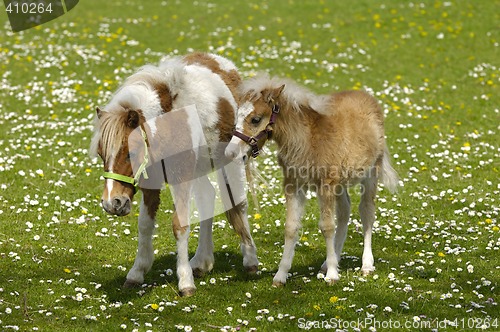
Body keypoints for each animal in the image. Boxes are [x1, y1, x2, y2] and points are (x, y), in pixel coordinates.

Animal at [90, 53, 260, 296]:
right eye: (101, 154)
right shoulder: (151, 183)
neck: (166, 128)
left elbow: (180, 225)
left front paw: (185, 282)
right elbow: (145, 224)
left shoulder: (181, 179)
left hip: (231, 162)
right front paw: (137, 273)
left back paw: (250, 260)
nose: (112, 203)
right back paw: (202, 262)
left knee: (239, 204)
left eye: (131, 152)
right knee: (207, 198)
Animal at [227, 74, 398, 286]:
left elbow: (327, 226)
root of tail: (366, 96)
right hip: (340, 183)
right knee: (345, 211)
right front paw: (280, 276)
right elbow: (291, 227)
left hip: (370, 174)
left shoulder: (326, 185)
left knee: (366, 212)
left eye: (256, 119)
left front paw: (332, 275)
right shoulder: (294, 185)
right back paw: (330, 261)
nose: (231, 153)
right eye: (237, 117)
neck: (307, 140)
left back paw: (366, 265)